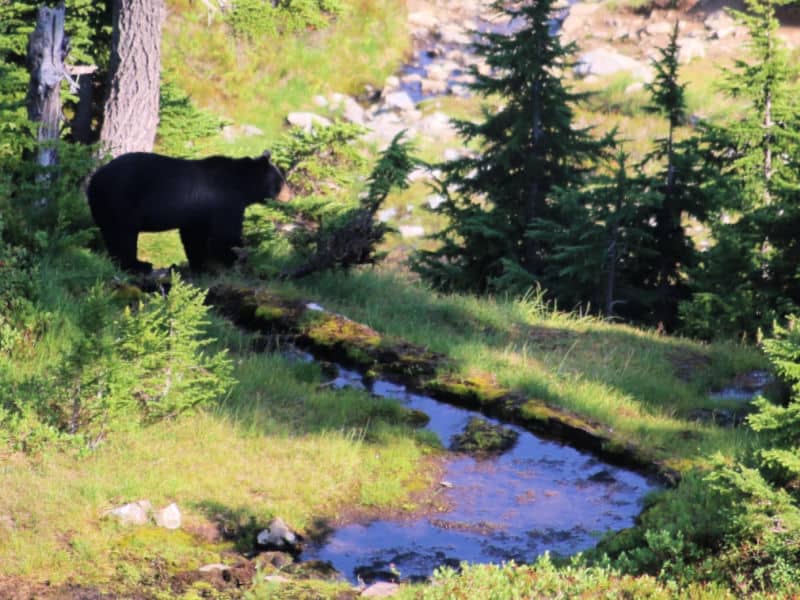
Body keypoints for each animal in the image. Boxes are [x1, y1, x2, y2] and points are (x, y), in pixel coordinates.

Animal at [87, 151, 286, 273]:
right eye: (280, 181)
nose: (286, 197)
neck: (241, 185)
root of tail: (94, 180)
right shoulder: (226, 202)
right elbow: (224, 235)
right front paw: (233, 257)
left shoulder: (199, 213)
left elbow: (194, 236)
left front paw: (199, 264)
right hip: (122, 201)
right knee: (124, 235)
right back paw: (138, 265)